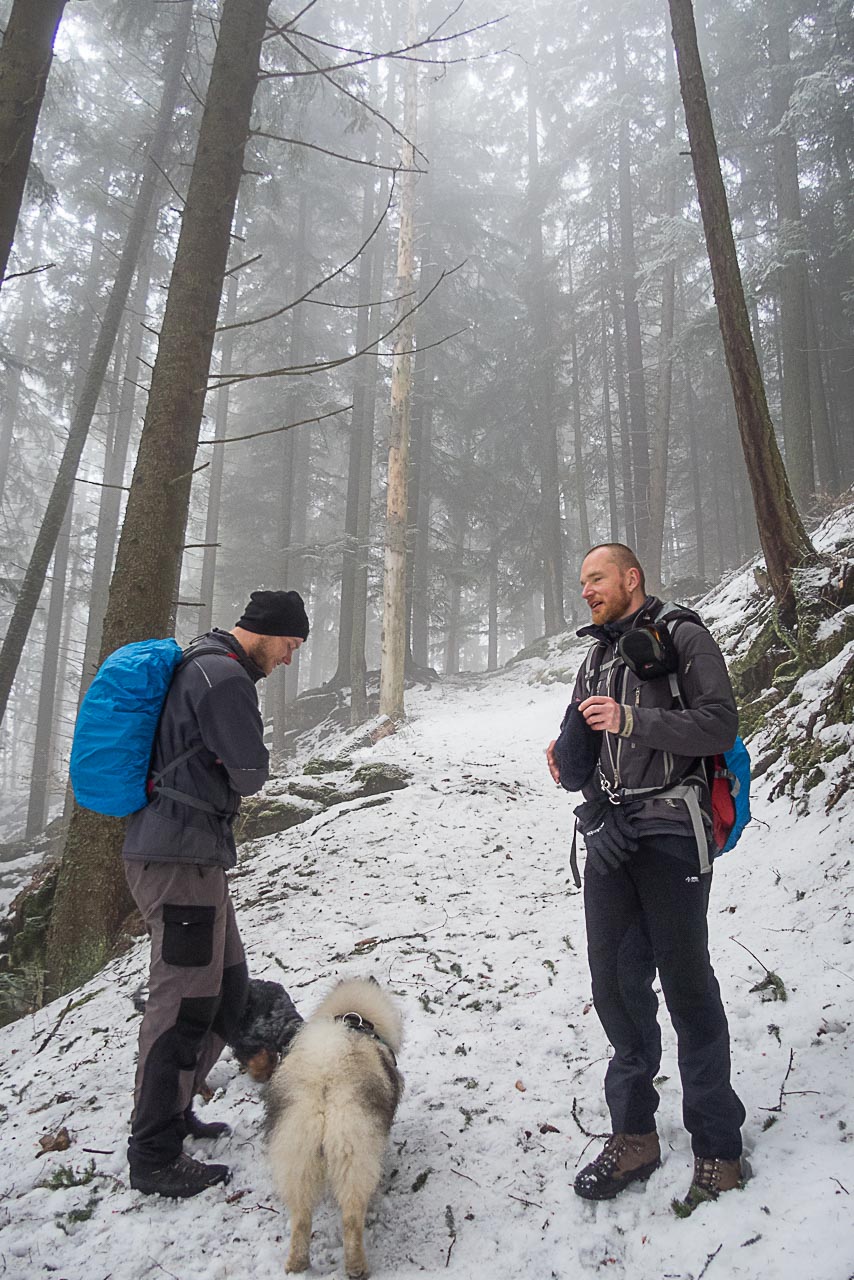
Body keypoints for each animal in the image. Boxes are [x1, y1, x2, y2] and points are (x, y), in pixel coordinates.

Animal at [267, 972, 404, 1274]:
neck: (356, 1017)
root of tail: (325, 1081)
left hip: (297, 1152)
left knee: (301, 1217)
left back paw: (297, 1264)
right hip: (352, 1150)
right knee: (351, 1217)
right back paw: (356, 1267)